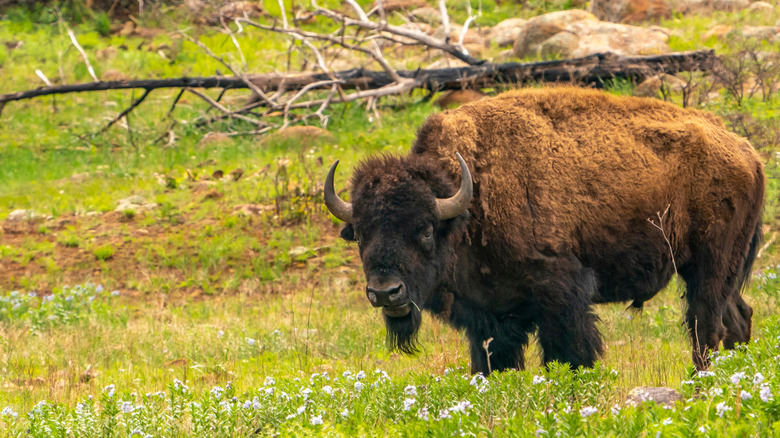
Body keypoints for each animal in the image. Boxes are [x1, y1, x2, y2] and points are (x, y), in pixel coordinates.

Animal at [322, 86, 760, 372]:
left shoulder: (562, 295)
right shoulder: (490, 316)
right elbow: (493, 363)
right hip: (724, 272)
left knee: (707, 327)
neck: (471, 199)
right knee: (737, 319)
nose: (385, 292)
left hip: (709, 269)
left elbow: (570, 355)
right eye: (361, 233)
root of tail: (745, 150)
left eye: (425, 229)